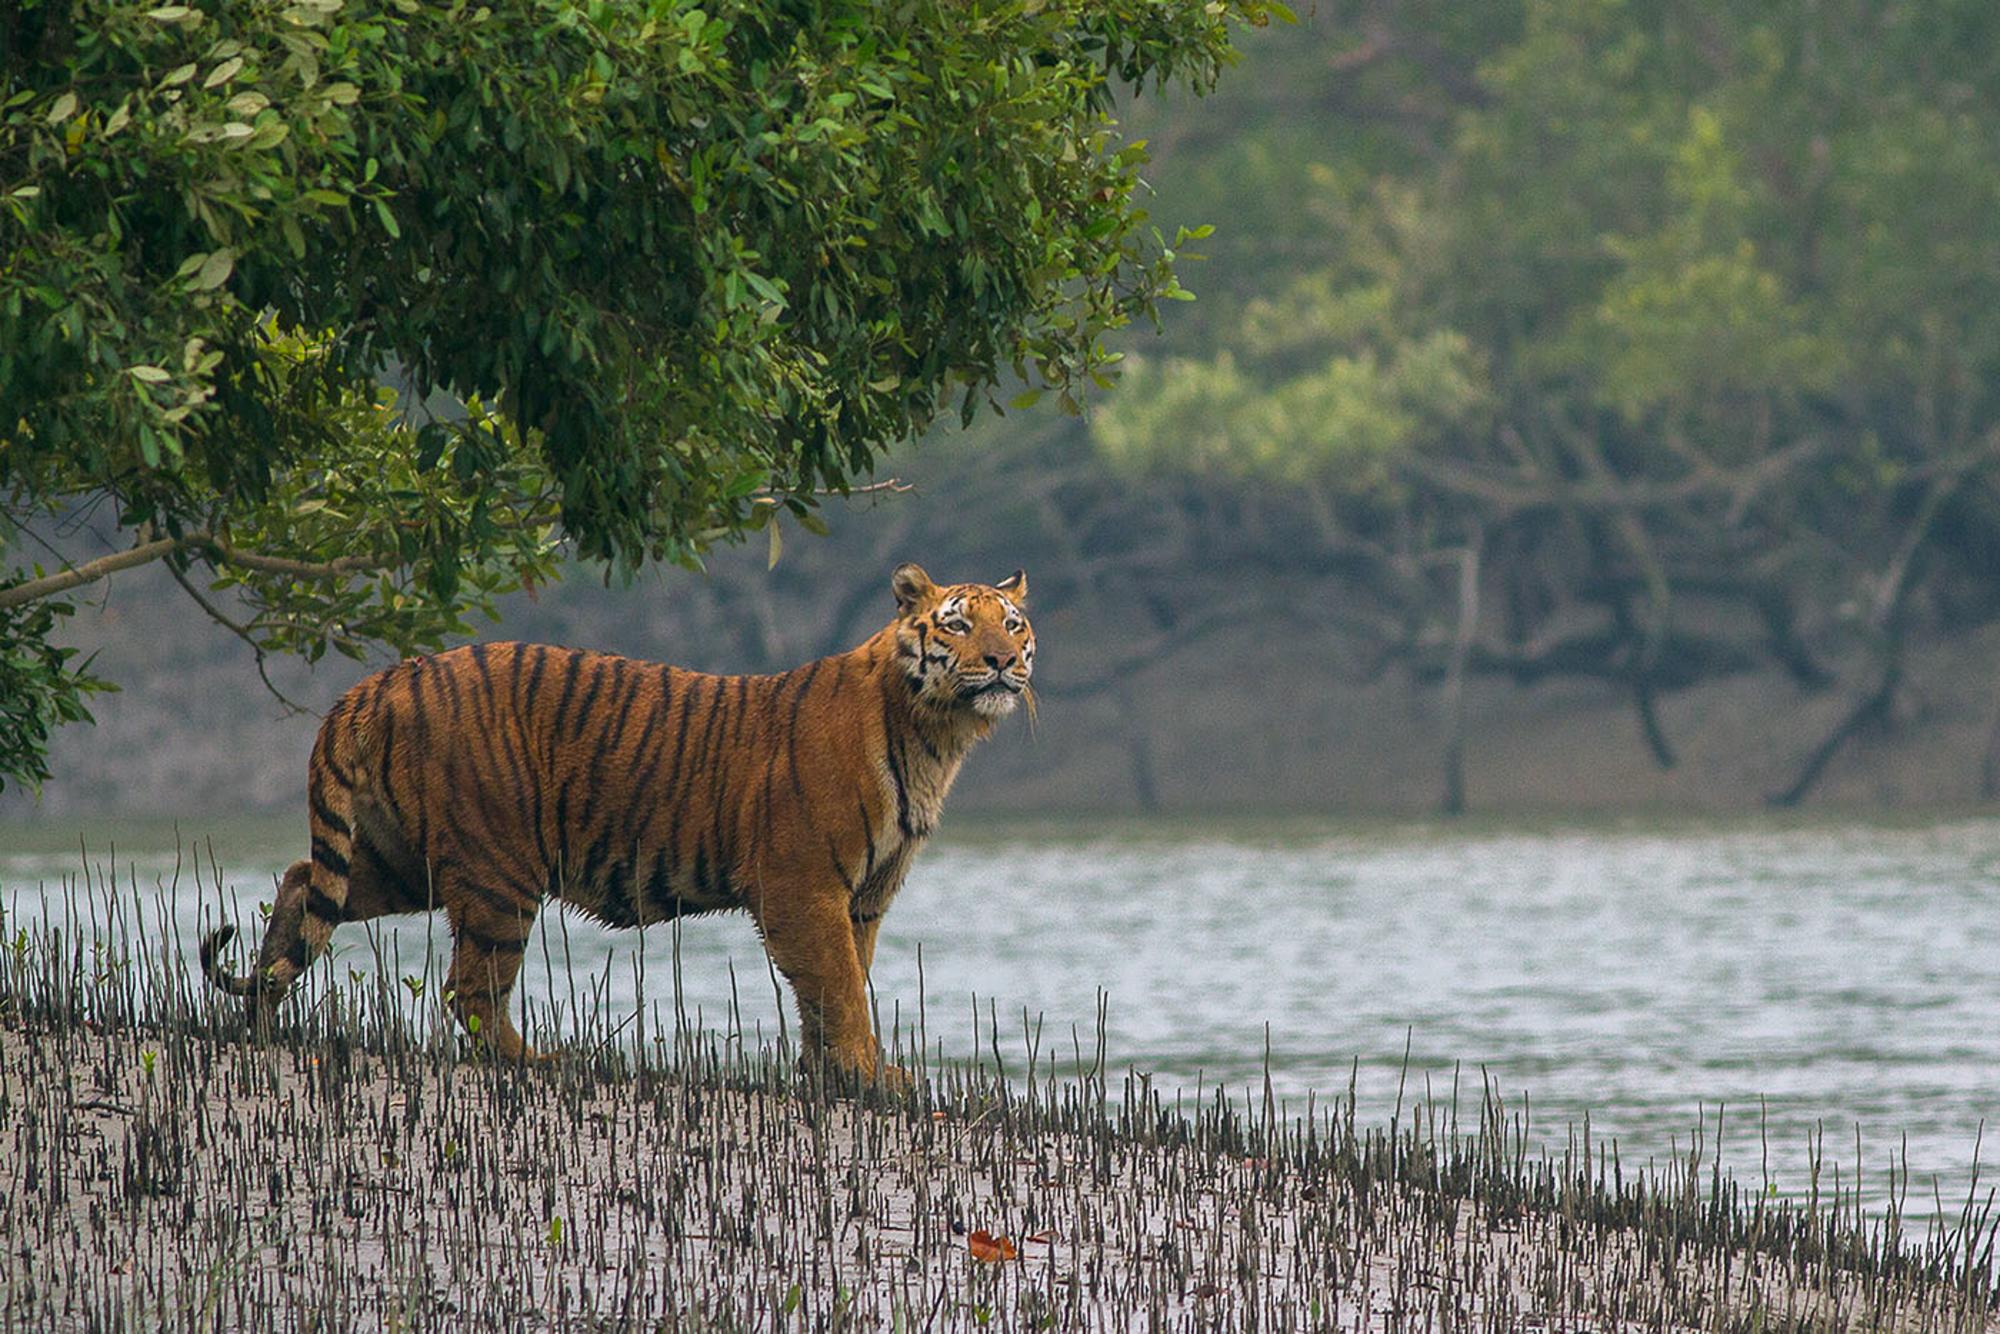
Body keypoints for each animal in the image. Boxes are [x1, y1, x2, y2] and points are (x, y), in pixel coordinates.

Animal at [199, 564, 1032, 1088]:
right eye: (958, 626)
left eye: (1014, 625)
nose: (1001, 661)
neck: (935, 735)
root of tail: (379, 681)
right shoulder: (805, 886)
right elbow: (838, 986)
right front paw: (868, 1075)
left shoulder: (863, 896)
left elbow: (840, 984)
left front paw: (835, 1073)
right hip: (499, 871)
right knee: (470, 990)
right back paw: (538, 1063)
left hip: (403, 860)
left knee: (302, 883)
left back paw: (262, 1016)